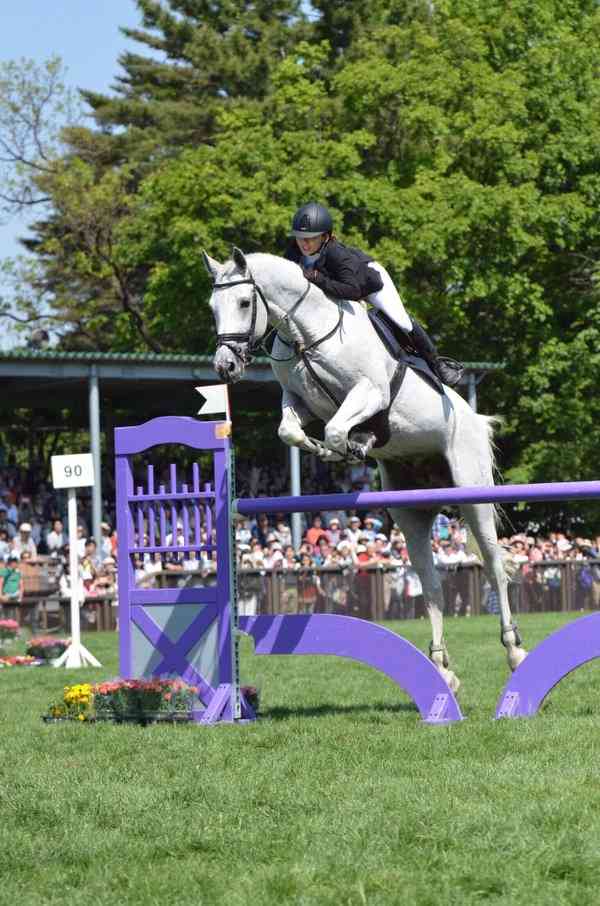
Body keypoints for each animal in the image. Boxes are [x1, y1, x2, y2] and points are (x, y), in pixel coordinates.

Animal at [202, 247, 527, 689]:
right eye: (212, 307)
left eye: (243, 302)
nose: (225, 368)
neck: (307, 334)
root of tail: (478, 419)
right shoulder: (299, 401)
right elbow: (289, 430)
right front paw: (324, 448)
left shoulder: (368, 392)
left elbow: (339, 427)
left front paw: (345, 448)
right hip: (411, 511)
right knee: (431, 585)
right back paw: (442, 668)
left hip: (473, 495)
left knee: (494, 568)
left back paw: (514, 650)